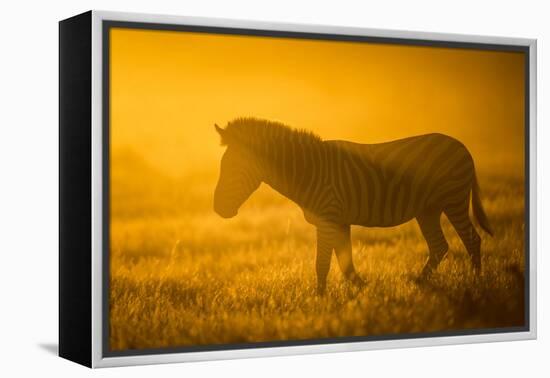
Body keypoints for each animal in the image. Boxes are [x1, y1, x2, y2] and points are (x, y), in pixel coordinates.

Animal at [213, 116, 494, 294]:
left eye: (231, 168)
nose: (217, 209)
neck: (309, 171)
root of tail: (462, 146)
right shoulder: (339, 220)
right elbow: (345, 263)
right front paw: (362, 290)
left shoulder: (328, 218)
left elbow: (323, 263)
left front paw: (320, 299)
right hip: (428, 209)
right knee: (439, 246)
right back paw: (419, 283)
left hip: (453, 199)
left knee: (472, 240)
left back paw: (477, 283)